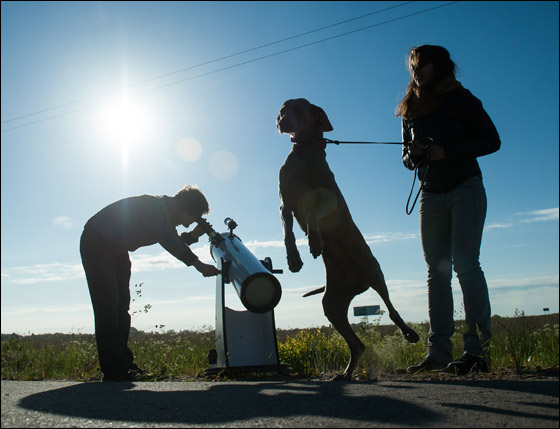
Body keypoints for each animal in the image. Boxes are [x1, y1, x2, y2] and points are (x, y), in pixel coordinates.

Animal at [278, 98, 418, 380]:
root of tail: (357, 284)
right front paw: (293, 258)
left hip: (374, 271)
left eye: (298, 108)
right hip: (332, 302)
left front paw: (314, 241)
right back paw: (345, 373)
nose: (281, 120)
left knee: (391, 309)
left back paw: (409, 332)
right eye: (283, 109)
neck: (305, 152)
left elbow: (313, 213)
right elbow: (288, 230)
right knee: (358, 344)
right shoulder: (284, 202)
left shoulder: (329, 198)